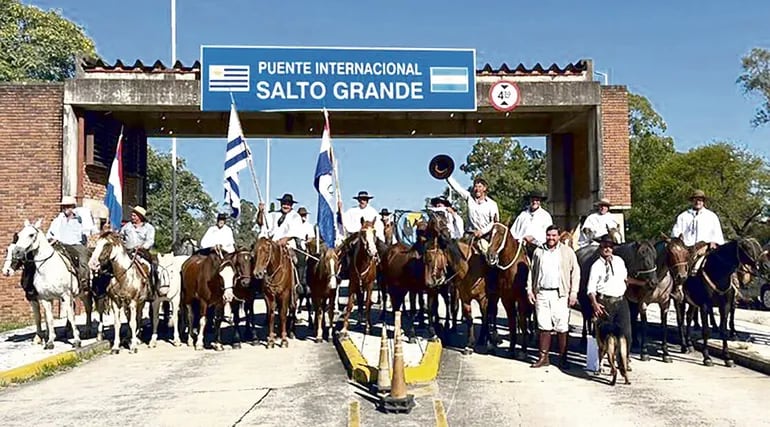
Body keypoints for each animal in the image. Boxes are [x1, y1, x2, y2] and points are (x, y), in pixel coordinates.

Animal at [12, 221, 84, 352]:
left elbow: (71, 316)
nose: (17, 252)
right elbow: (49, 319)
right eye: (19, 235)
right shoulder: (45, 298)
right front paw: (50, 341)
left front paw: (77, 341)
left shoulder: (66, 295)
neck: (48, 269)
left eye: (31, 234)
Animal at [680, 237, 764, 368]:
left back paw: (689, 345)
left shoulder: (725, 305)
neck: (718, 273)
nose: (759, 266)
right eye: (747, 247)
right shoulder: (705, 305)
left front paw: (727, 357)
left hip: (692, 302)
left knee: (688, 318)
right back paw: (684, 345)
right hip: (681, 299)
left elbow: (723, 329)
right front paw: (707, 357)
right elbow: (706, 330)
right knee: (681, 320)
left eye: (759, 247)